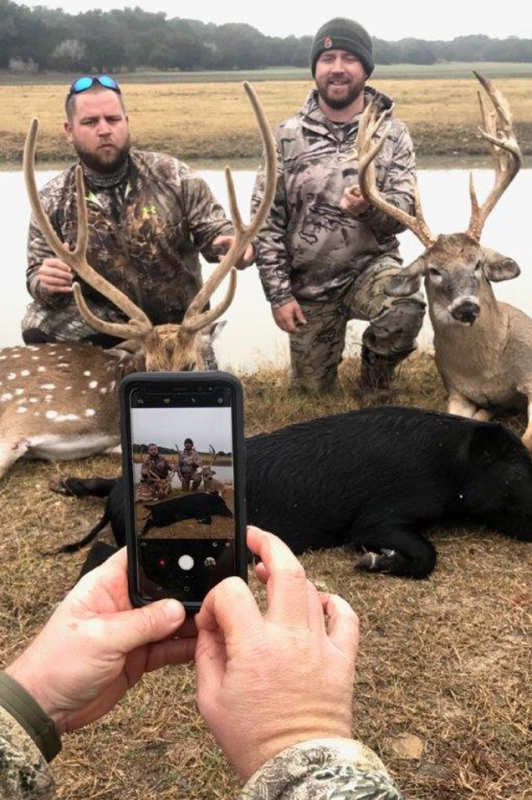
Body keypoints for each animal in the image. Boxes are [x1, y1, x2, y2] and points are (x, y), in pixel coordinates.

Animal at [354, 71, 532, 448]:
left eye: (478, 264)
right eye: (433, 270)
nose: (466, 308)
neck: (487, 372)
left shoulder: (531, 380)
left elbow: (527, 440)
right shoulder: (457, 392)